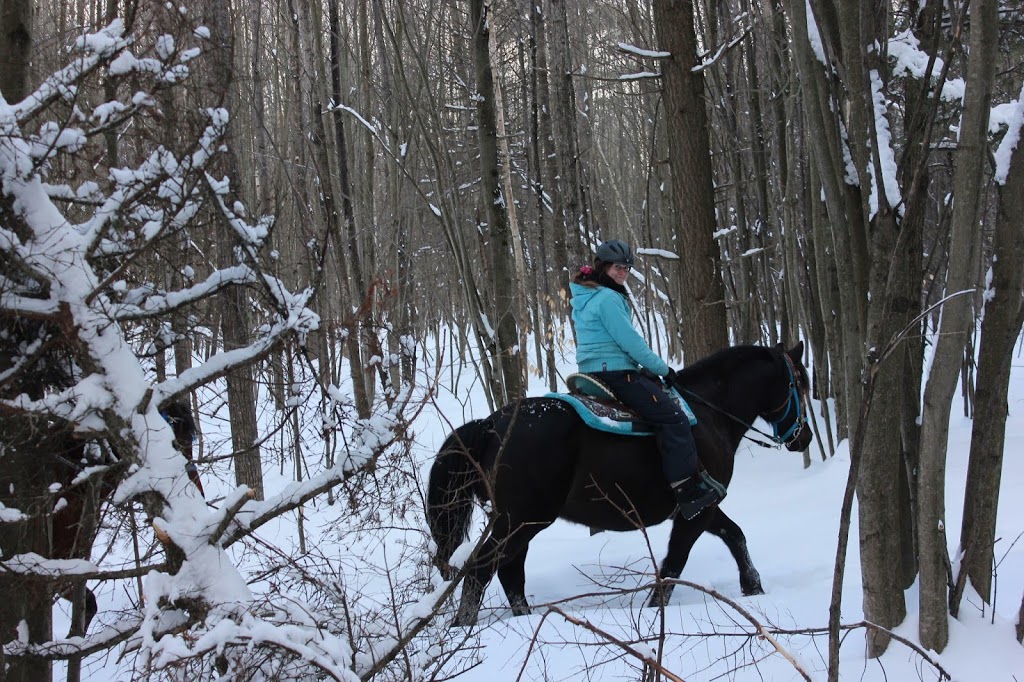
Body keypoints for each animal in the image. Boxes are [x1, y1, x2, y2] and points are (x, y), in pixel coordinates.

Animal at [428, 342, 811, 622]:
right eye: (800, 384)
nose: (803, 437)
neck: (708, 415)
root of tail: (490, 424)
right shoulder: (696, 511)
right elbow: (674, 563)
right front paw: (654, 611)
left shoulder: (701, 507)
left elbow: (735, 536)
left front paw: (753, 588)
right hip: (521, 521)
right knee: (482, 570)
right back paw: (464, 625)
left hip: (518, 523)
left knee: (508, 572)